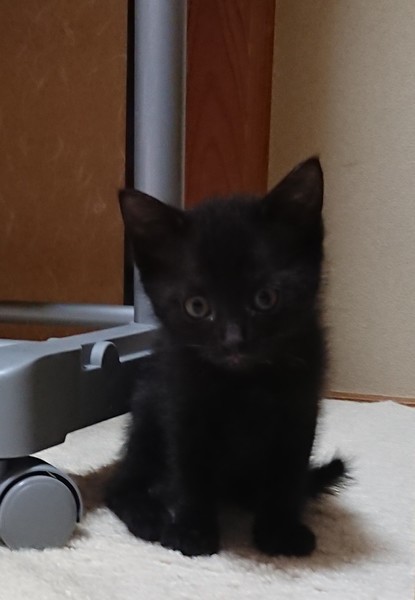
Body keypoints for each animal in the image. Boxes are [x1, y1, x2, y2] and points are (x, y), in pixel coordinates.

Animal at [105, 157, 347, 557]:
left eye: (266, 298)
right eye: (197, 306)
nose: (234, 342)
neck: (243, 383)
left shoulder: (300, 405)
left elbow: (287, 472)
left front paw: (279, 531)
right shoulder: (182, 403)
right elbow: (190, 468)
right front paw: (192, 531)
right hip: (147, 412)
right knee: (119, 482)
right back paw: (148, 514)